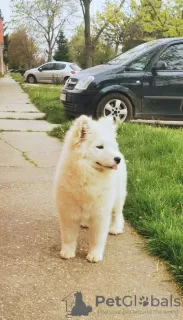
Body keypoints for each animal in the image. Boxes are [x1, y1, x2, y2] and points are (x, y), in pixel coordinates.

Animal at [54, 115, 126, 262]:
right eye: (100, 147)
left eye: (111, 146)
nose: (118, 159)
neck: (87, 175)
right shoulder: (69, 212)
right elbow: (69, 236)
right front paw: (67, 252)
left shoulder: (101, 213)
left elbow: (97, 239)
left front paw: (94, 255)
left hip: (118, 197)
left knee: (117, 213)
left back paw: (115, 228)